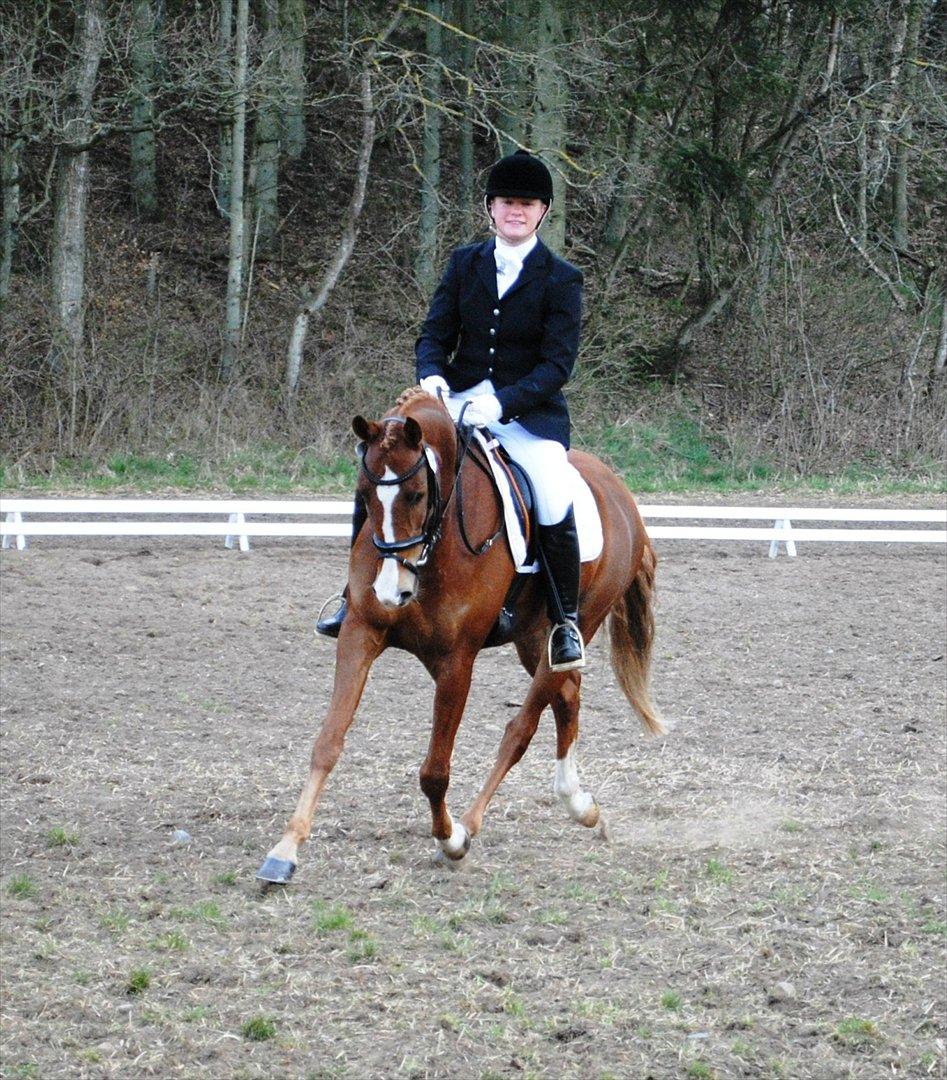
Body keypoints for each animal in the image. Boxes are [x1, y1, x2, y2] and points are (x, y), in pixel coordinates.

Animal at [256, 386, 663, 884]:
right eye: (364, 496)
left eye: (416, 494)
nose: (392, 592)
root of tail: (620, 493)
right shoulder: (360, 632)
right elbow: (328, 742)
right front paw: (285, 849)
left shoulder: (457, 661)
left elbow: (434, 770)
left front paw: (450, 839)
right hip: (532, 637)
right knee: (568, 695)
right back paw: (581, 806)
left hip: (573, 624)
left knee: (522, 726)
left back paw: (473, 823)